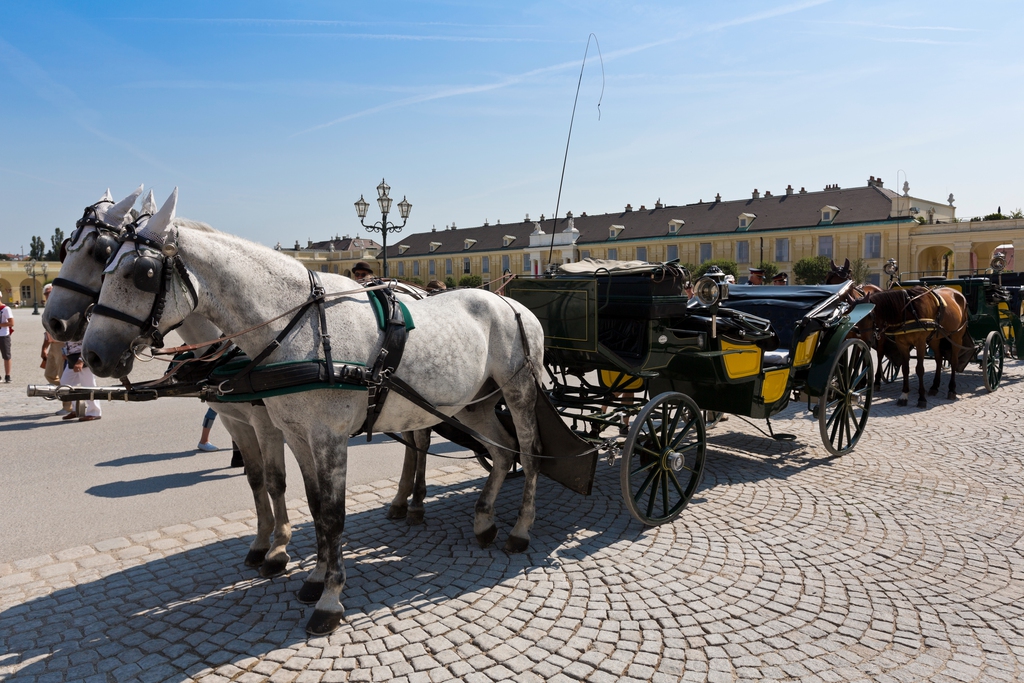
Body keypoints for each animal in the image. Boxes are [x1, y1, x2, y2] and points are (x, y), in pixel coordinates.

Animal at [44, 191, 292, 577]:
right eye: (65, 247)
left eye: (100, 252)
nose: (53, 322)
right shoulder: (234, 419)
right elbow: (255, 478)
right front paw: (261, 542)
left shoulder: (266, 422)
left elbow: (275, 480)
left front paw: (279, 547)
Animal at [81, 188, 544, 634]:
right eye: (106, 265)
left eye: (141, 274)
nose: (92, 354)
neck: (299, 329)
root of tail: (510, 302)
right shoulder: (295, 434)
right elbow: (315, 506)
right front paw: (316, 578)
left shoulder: (328, 438)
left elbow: (333, 515)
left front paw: (330, 600)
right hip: (472, 404)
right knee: (501, 453)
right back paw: (483, 522)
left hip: (517, 393)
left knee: (528, 451)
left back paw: (520, 531)